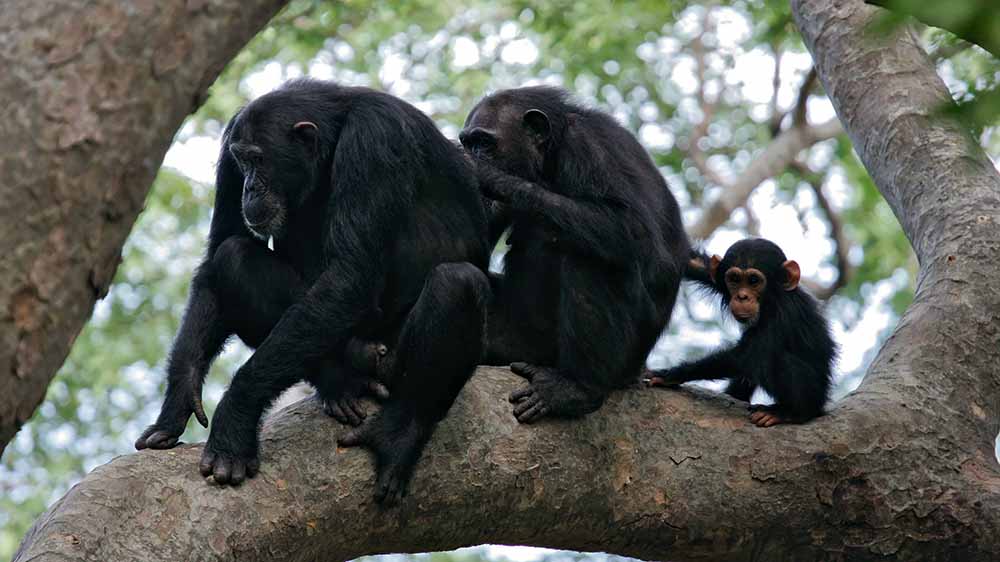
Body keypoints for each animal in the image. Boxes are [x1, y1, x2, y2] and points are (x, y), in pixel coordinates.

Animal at [133, 76, 492, 500]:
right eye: (242, 162)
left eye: (259, 160)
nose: (249, 188)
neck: (334, 135)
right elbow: (220, 247)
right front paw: (178, 397)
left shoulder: (375, 139)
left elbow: (349, 275)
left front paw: (235, 417)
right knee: (235, 258)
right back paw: (341, 382)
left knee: (457, 283)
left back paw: (398, 436)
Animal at [458, 86, 688, 420]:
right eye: (468, 142)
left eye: (484, 143)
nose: (471, 155)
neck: (549, 158)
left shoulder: (589, 148)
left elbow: (632, 228)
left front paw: (489, 176)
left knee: (591, 256)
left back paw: (573, 389)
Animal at [644, 236, 840, 424]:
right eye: (735, 280)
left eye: (753, 281)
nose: (742, 296)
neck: (772, 299)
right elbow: (694, 262)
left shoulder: (783, 314)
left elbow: (743, 356)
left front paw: (670, 374)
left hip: (812, 397)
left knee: (776, 359)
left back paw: (789, 413)